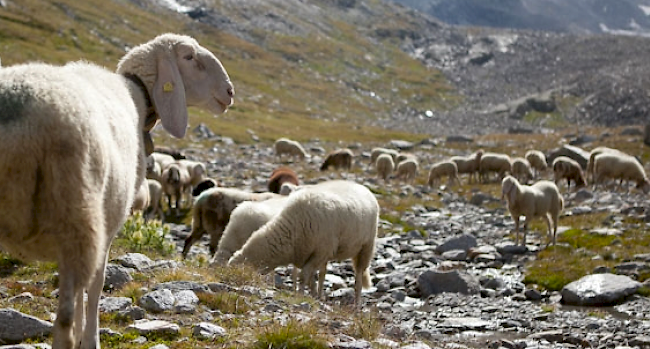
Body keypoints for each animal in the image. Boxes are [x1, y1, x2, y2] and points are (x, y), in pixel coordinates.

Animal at [0, 33, 233, 348]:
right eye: (188, 57)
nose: (230, 92)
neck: (137, 94)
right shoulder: (104, 226)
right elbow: (96, 285)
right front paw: (90, 337)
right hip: (77, 216)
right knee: (64, 322)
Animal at [229, 181, 378, 304]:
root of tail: (362, 187)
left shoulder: (320, 252)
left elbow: (304, 276)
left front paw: (300, 295)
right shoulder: (309, 254)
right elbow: (311, 279)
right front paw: (313, 295)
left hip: (366, 246)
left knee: (359, 276)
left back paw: (357, 304)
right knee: (323, 274)